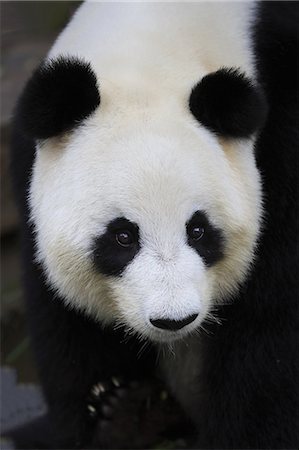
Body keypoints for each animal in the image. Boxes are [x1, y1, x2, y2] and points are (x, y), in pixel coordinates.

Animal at [10, 0, 298, 450]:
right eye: (122, 237)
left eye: (198, 230)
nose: (172, 320)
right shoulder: (29, 165)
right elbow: (64, 323)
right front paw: (114, 416)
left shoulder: (284, 131)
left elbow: (273, 330)